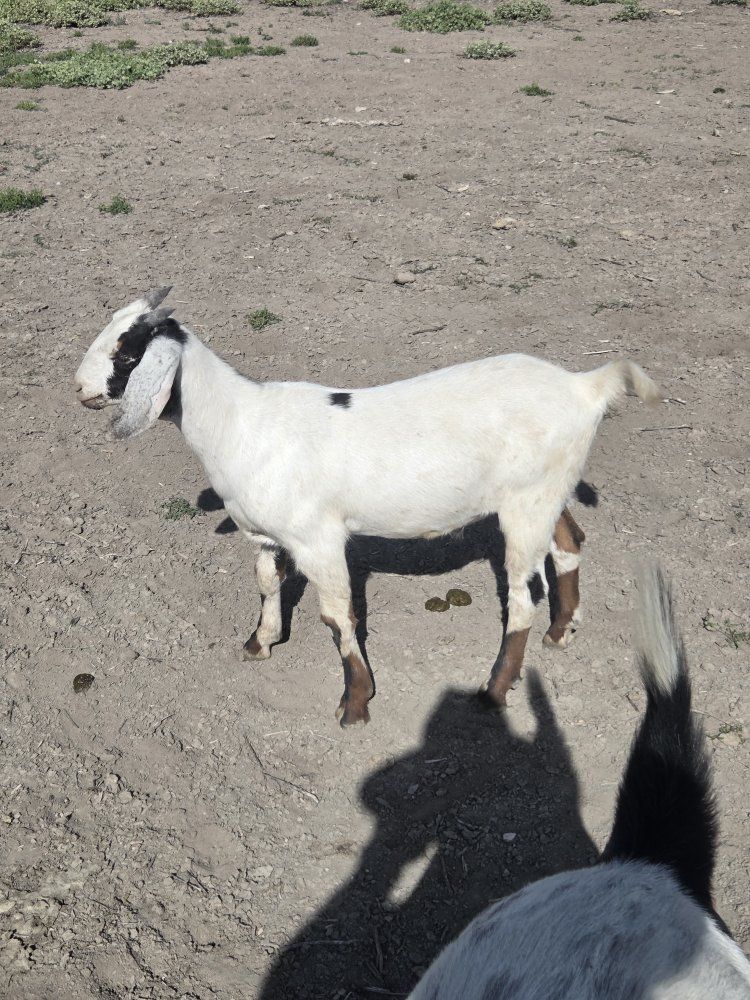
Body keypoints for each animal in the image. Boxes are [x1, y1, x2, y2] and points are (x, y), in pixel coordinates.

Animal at [74, 287, 660, 727]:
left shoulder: (319, 539)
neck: (240, 424)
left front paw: (355, 702)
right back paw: (562, 631)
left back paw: (494, 690)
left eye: (127, 353)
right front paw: (261, 641)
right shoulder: (265, 536)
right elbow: (266, 583)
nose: (80, 389)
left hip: (524, 506)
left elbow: (338, 617)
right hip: (544, 490)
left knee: (521, 599)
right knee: (569, 542)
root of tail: (585, 387)